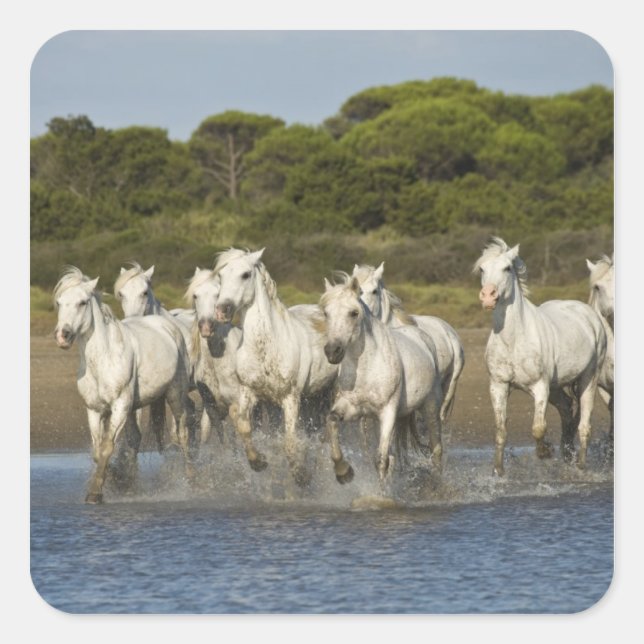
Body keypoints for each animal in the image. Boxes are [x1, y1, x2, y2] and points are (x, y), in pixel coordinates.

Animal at [53, 267, 196, 503]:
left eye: (82, 302)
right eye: (59, 302)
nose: (62, 336)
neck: (103, 358)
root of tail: (169, 326)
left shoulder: (119, 406)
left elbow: (106, 447)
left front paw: (95, 494)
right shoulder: (94, 410)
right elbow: (97, 451)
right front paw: (116, 478)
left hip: (175, 395)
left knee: (183, 434)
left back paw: (191, 479)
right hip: (135, 407)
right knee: (135, 439)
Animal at [212, 248, 338, 486]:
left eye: (245, 275)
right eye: (220, 277)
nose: (222, 310)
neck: (266, 347)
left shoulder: (290, 398)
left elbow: (289, 442)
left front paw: (301, 475)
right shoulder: (249, 393)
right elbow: (244, 427)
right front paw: (258, 462)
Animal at [319, 275, 444, 484]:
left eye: (354, 313)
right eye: (326, 313)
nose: (332, 351)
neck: (367, 368)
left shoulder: (387, 412)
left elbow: (381, 459)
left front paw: (382, 491)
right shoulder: (353, 408)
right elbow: (332, 420)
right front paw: (344, 471)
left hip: (430, 407)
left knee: (436, 449)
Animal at [475, 237, 607, 474]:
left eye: (507, 268)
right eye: (482, 269)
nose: (488, 296)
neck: (514, 340)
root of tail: (588, 313)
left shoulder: (540, 386)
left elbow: (538, 428)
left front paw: (545, 452)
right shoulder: (498, 385)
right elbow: (500, 431)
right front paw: (498, 472)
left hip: (588, 379)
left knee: (584, 425)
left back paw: (581, 466)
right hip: (556, 387)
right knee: (567, 410)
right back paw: (567, 455)